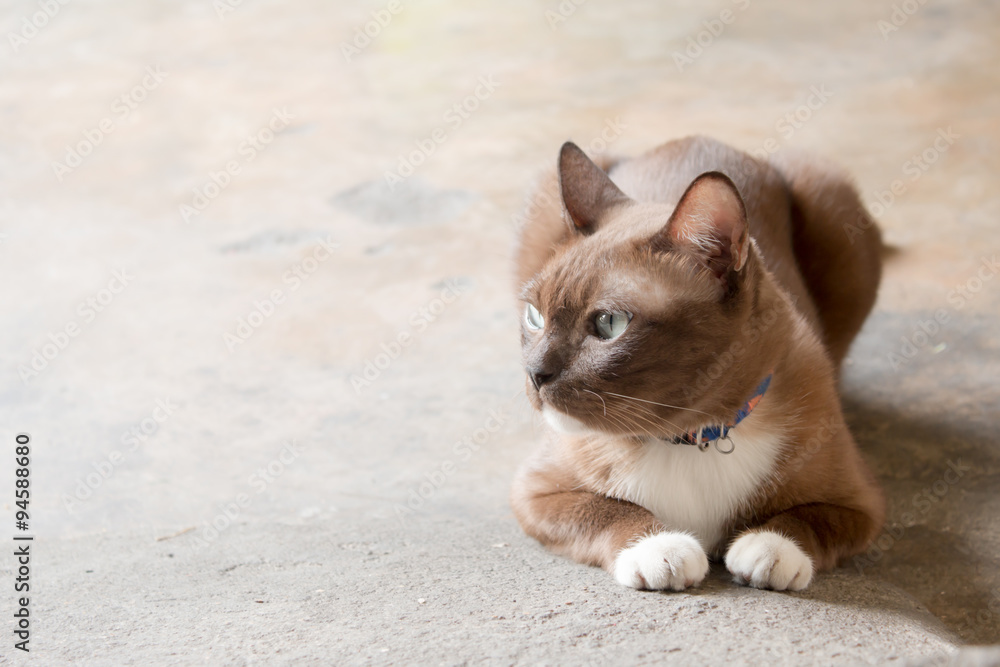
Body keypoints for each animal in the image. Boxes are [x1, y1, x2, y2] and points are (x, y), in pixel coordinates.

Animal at [516, 136, 884, 588]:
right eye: (535, 317)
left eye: (609, 324)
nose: (535, 374)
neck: (694, 436)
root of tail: (698, 138)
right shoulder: (537, 493)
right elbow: (608, 511)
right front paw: (661, 550)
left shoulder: (861, 505)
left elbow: (805, 520)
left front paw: (768, 550)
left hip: (830, 198)